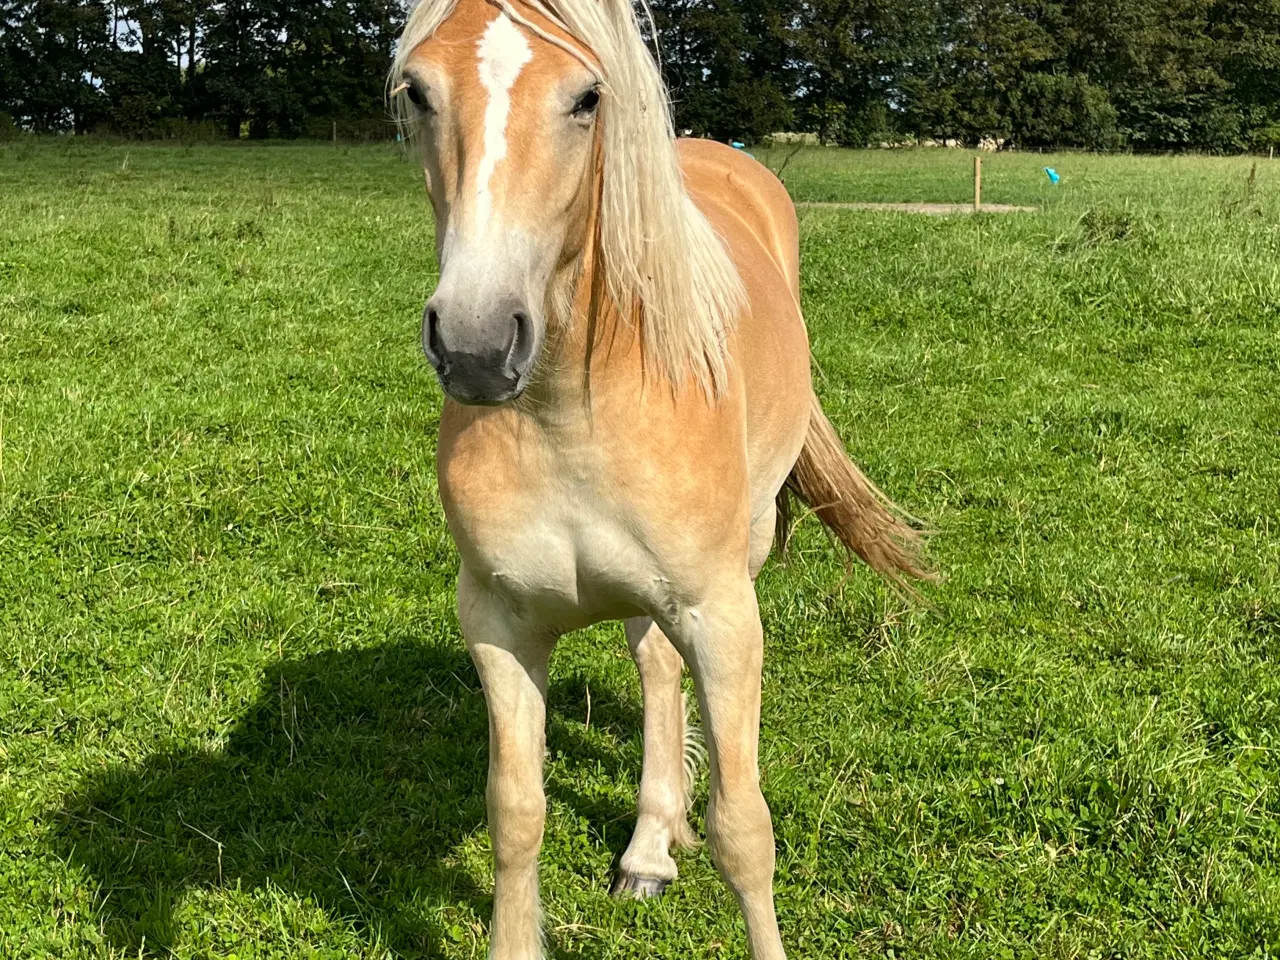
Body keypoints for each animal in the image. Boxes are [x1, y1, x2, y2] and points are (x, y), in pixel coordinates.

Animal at [384, 0, 926, 957]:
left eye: (586, 97)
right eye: (417, 90)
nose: (478, 345)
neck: (567, 410)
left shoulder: (721, 617)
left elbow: (744, 830)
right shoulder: (498, 625)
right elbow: (515, 814)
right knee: (653, 670)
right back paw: (648, 847)